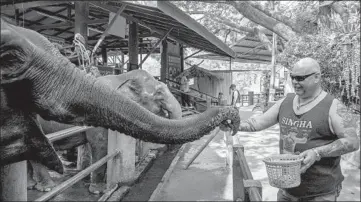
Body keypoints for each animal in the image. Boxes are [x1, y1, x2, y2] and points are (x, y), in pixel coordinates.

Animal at [27, 70, 183, 194]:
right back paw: (47, 188)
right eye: (159, 94)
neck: (122, 77)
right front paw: (98, 191)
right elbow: (101, 145)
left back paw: (31, 185)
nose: (170, 151)